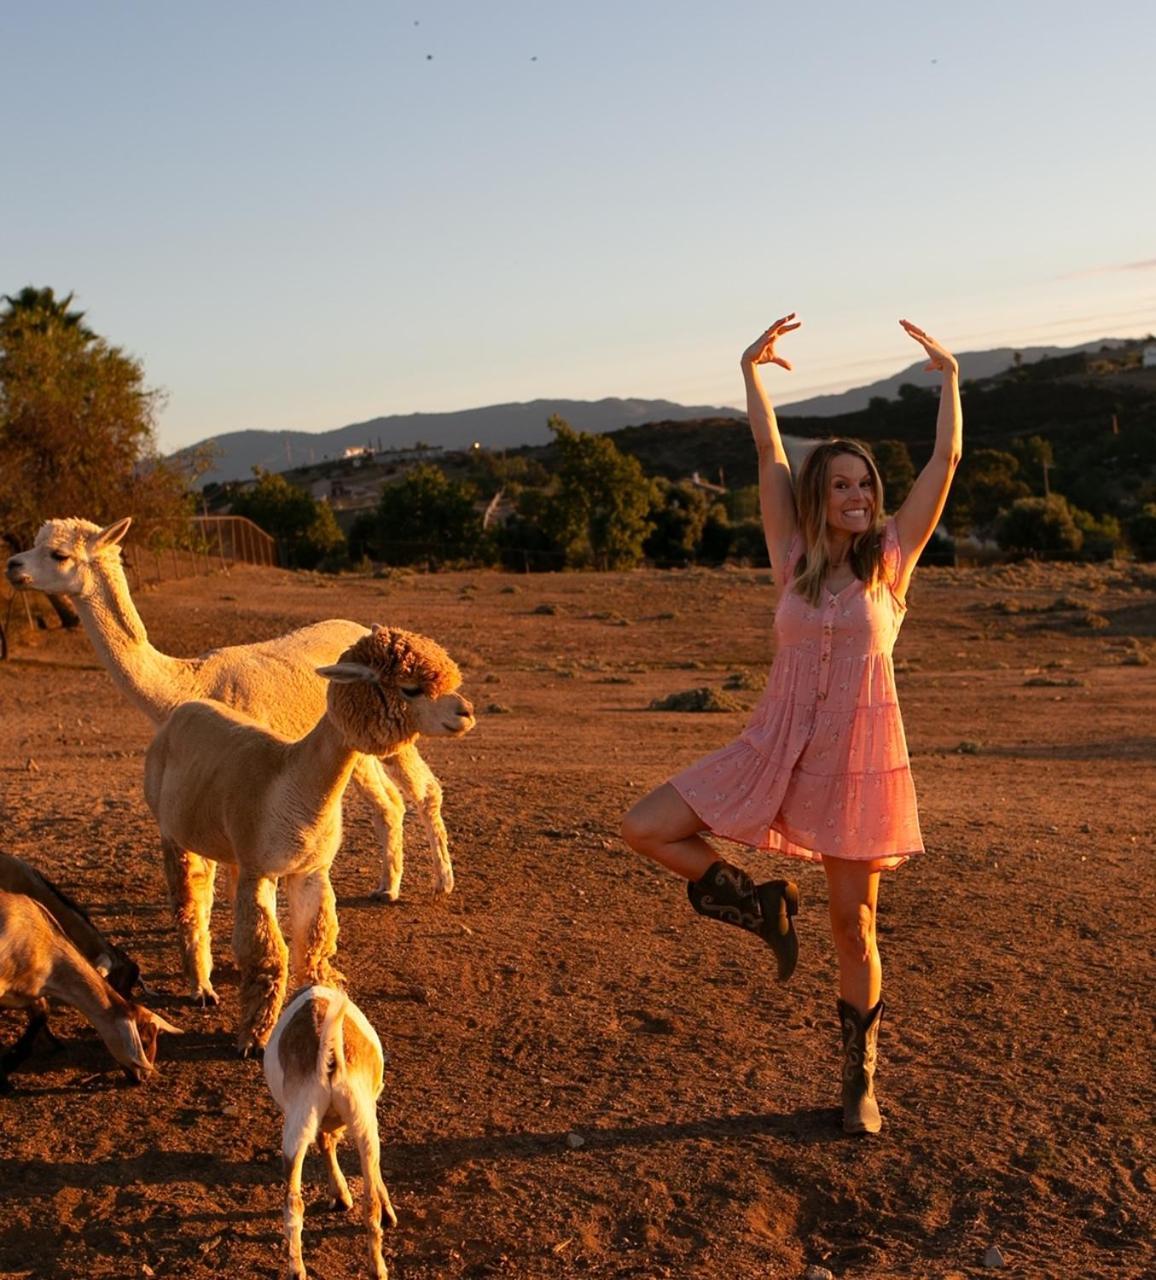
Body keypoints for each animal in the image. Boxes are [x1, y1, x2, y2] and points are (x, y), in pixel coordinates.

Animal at [264, 988, 399, 1280]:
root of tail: (330, 1056)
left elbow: (326, 1143)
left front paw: (340, 1195)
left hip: (297, 1132)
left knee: (293, 1204)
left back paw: (298, 1270)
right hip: (363, 1124)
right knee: (368, 1202)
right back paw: (378, 1267)